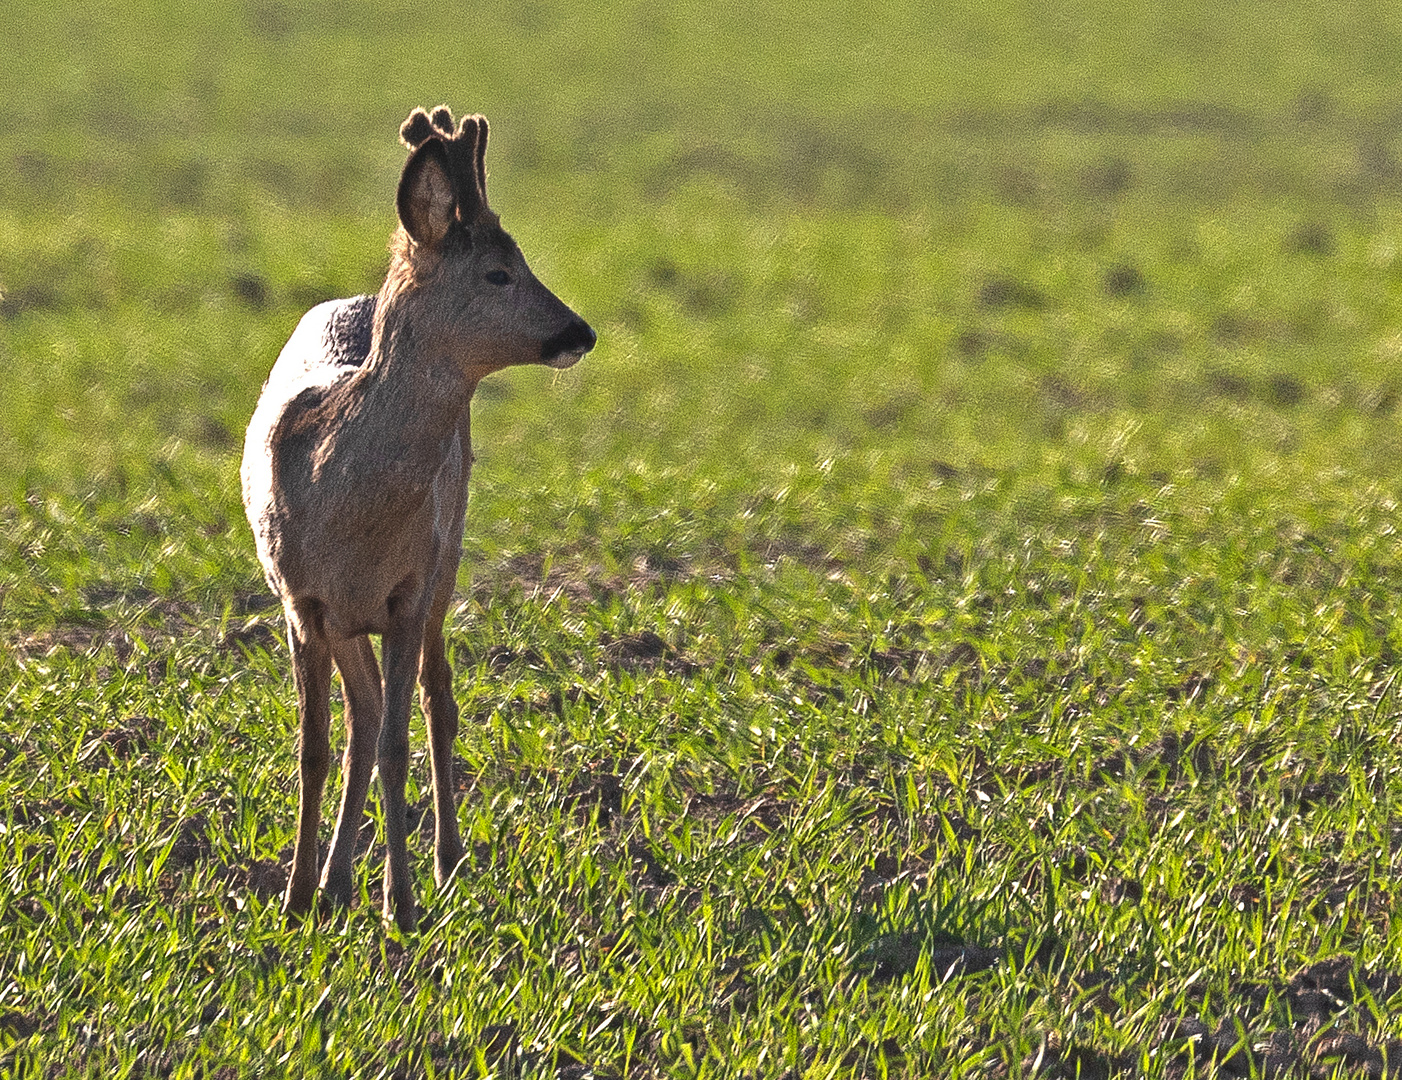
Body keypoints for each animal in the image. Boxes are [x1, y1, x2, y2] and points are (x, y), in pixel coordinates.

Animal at [241, 107, 591, 925]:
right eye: (497, 273)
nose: (579, 332)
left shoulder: (408, 587)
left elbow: (399, 743)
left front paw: (399, 905)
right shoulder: (300, 599)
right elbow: (316, 747)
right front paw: (297, 897)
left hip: (447, 559)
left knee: (433, 702)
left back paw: (445, 861)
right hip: (349, 617)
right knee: (364, 718)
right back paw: (335, 881)